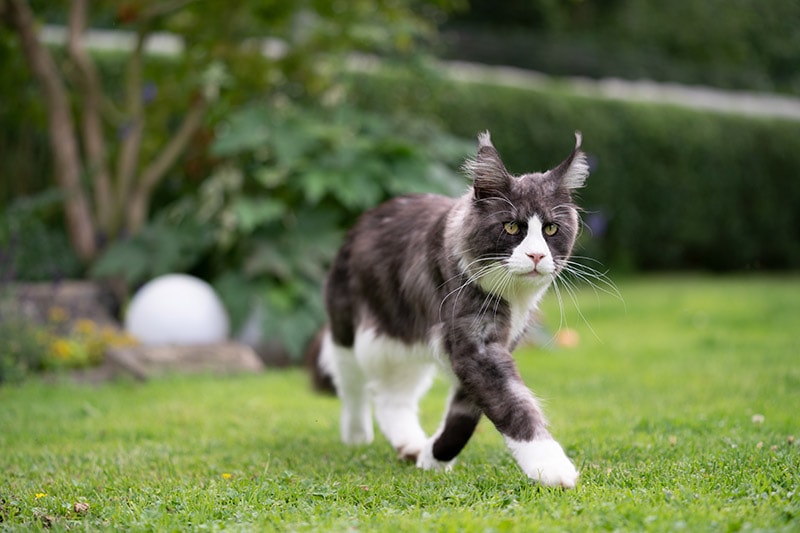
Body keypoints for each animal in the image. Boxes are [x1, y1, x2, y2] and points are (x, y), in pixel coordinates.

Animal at [314, 132, 588, 486]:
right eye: (512, 228)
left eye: (551, 229)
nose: (537, 256)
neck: (511, 295)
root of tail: (366, 217)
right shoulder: (475, 348)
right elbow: (515, 405)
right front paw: (551, 465)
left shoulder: (490, 347)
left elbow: (464, 416)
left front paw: (433, 456)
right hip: (348, 332)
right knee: (352, 386)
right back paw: (357, 434)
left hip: (406, 345)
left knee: (392, 400)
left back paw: (410, 444)